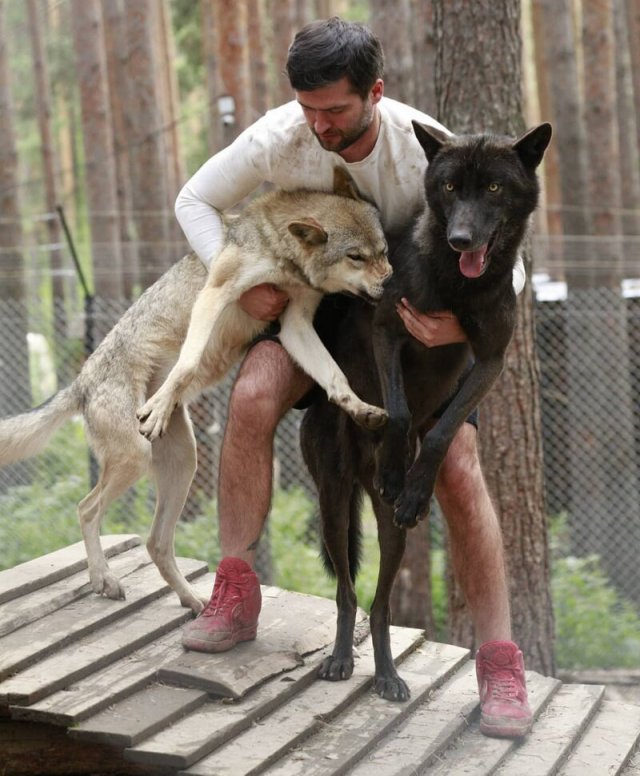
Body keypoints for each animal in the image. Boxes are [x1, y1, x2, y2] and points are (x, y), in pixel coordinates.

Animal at [0, 170, 390, 612]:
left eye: (382, 251)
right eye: (356, 257)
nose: (391, 280)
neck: (279, 251)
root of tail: (81, 382)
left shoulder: (295, 324)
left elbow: (335, 377)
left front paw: (361, 409)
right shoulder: (217, 293)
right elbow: (187, 363)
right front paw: (161, 401)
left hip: (184, 464)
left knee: (155, 543)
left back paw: (192, 600)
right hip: (136, 458)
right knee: (86, 509)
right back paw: (104, 578)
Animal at [302, 123, 552, 704]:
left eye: (494, 189)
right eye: (450, 186)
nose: (461, 239)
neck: (457, 283)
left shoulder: (490, 362)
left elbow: (438, 434)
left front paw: (413, 487)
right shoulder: (388, 332)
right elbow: (395, 412)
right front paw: (397, 468)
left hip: (392, 535)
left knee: (380, 605)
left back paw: (388, 676)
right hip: (332, 503)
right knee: (347, 593)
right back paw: (342, 658)